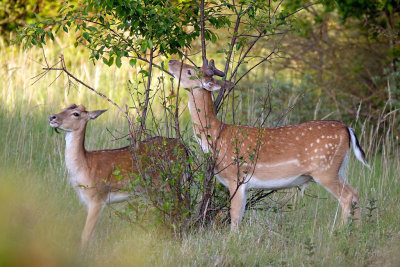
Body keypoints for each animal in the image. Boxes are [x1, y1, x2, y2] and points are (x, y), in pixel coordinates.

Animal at [49, 104, 188, 247]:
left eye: (76, 113)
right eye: (64, 108)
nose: (52, 117)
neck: (85, 168)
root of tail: (183, 148)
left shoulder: (97, 197)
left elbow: (85, 235)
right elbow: (91, 236)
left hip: (169, 184)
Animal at [167, 59, 370, 231]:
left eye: (189, 71)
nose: (171, 61)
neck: (217, 137)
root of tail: (346, 128)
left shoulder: (236, 177)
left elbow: (234, 217)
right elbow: (239, 215)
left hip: (325, 169)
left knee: (347, 196)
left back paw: (340, 232)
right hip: (338, 168)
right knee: (355, 193)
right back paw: (359, 231)